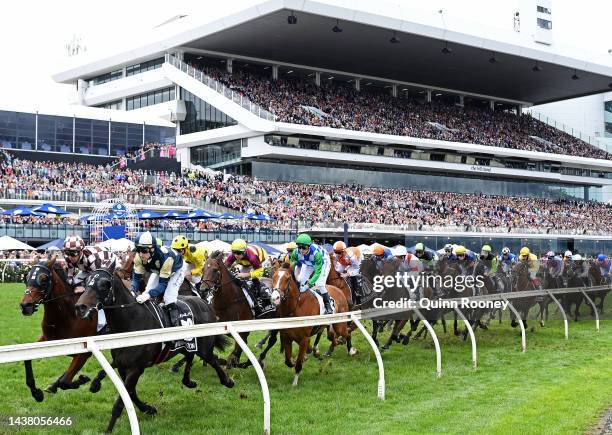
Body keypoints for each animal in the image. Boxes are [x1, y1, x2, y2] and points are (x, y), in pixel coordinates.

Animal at [19, 258, 99, 404]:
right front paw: (36, 393)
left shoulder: (85, 352)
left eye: (44, 278)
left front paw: (82, 379)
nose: (25, 305)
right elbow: (27, 358)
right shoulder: (48, 338)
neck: (68, 316)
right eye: (27, 276)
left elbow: (65, 382)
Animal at [74, 264, 232, 434]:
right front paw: (148, 409)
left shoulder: (136, 368)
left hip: (203, 347)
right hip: (187, 345)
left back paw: (227, 381)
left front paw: (109, 429)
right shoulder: (122, 365)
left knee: (213, 360)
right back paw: (189, 382)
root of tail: (204, 303)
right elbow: (128, 391)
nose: (80, 307)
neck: (130, 323)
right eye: (86, 282)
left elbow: (121, 400)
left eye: (104, 284)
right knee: (190, 357)